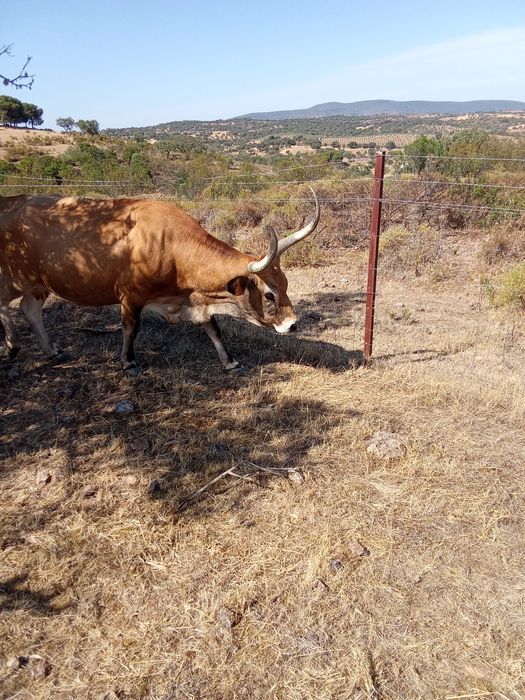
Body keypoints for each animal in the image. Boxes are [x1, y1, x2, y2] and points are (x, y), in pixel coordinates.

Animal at [0, 188, 320, 374]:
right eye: (268, 294)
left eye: (286, 284)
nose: (293, 323)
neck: (171, 246)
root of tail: (13, 202)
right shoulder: (130, 297)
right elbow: (131, 328)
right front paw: (128, 362)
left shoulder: (194, 300)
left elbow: (214, 329)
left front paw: (230, 362)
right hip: (14, 277)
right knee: (5, 305)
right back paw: (13, 345)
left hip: (38, 284)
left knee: (30, 309)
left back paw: (50, 349)